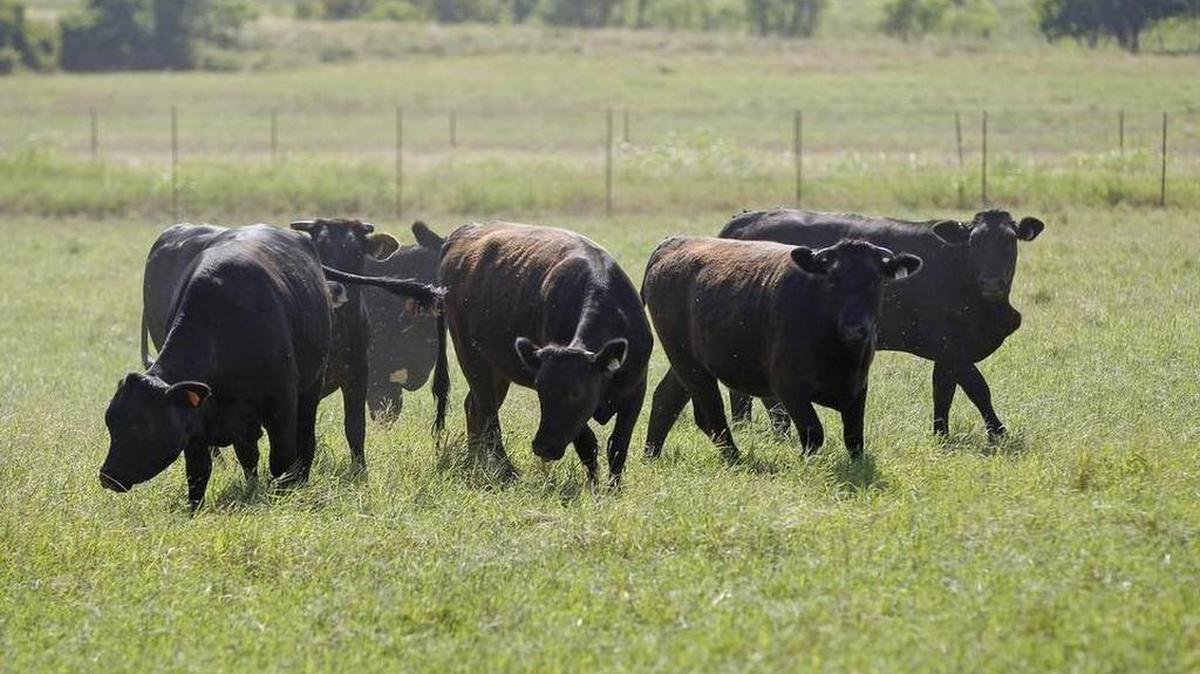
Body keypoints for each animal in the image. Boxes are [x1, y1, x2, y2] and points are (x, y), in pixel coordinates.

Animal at [431, 222, 653, 488]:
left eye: (576, 391)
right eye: (540, 390)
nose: (543, 446)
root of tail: (466, 231)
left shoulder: (636, 389)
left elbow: (618, 445)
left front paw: (613, 488)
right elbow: (588, 443)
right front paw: (593, 486)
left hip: (498, 369)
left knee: (474, 407)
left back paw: (475, 459)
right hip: (472, 357)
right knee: (487, 412)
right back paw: (506, 470)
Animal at [642, 236, 922, 461]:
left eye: (875, 281)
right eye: (833, 280)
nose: (854, 327)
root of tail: (673, 243)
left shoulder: (858, 386)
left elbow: (854, 436)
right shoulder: (789, 387)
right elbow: (813, 432)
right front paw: (807, 463)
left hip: (687, 363)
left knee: (666, 400)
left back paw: (651, 455)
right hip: (687, 362)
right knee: (711, 413)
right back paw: (735, 459)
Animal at [720, 208, 1045, 438]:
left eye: (1009, 241)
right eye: (974, 242)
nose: (991, 281)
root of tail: (744, 219)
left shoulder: (948, 350)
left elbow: (943, 391)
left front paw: (940, 434)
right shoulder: (949, 345)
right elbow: (977, 387)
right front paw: (998, 433)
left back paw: (748, 426)